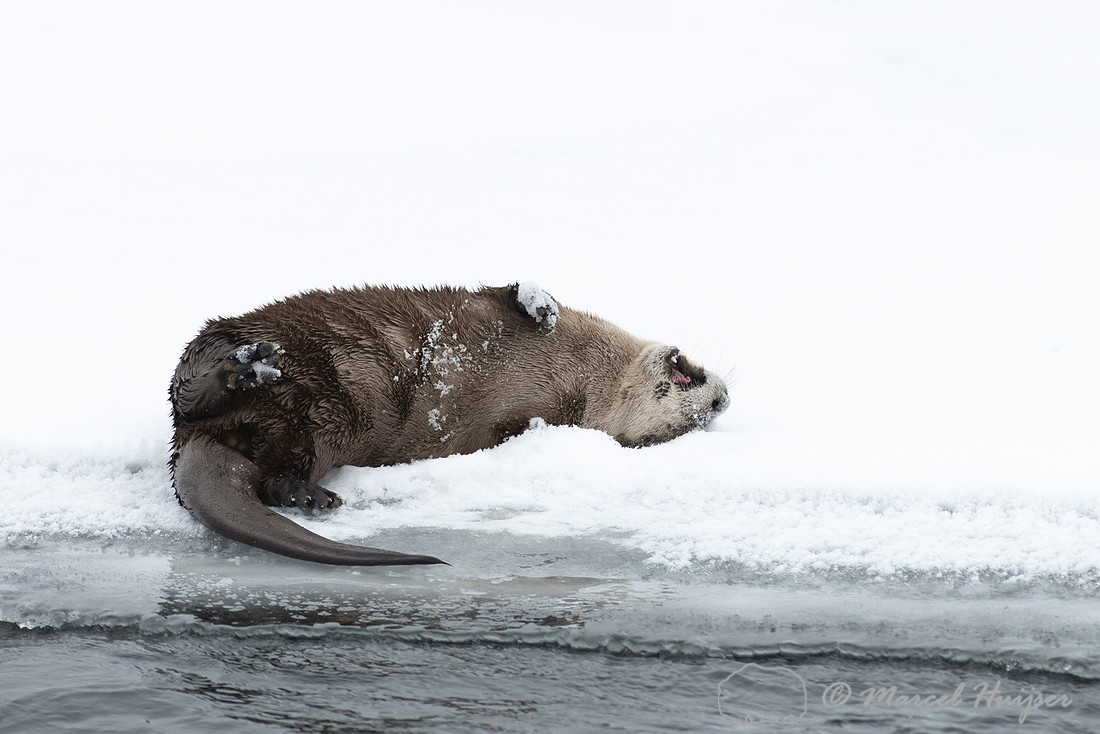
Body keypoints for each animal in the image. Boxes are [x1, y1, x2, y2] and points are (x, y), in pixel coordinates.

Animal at [170, 283, 729, 566]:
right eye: (687, 410)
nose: (721, 400)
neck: (584, 372)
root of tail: (193, 440)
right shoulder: (501, 304)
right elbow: (509, 292)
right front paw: (538, 302)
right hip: (225, 339)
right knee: (188, 382)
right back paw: (245, 367)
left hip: (318, 431)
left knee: (272, 471)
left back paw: (306, 494)